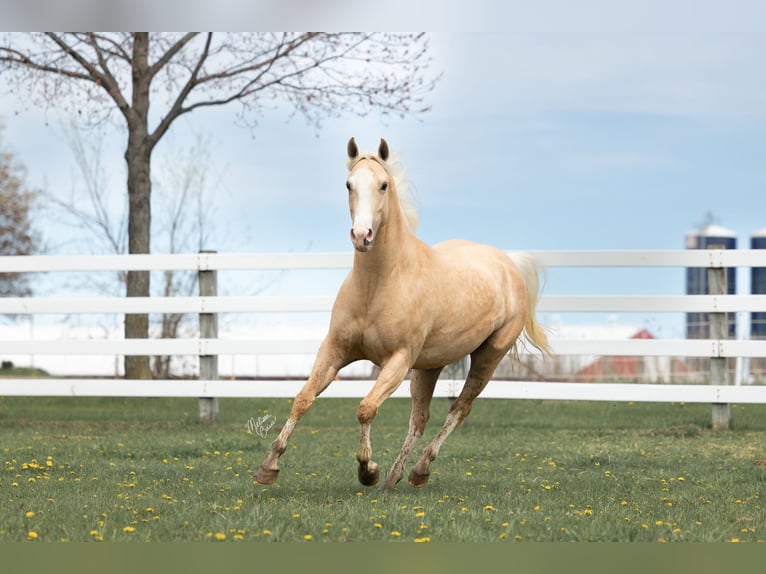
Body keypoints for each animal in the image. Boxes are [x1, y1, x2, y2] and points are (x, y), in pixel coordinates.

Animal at [256, 138, 552, 490]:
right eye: (349, 184)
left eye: (383, 184)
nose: (362, 235)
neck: (378, 284)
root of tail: (508, 263)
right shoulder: (335, 350)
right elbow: (303, 398)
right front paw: (269, 466)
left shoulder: (398, 361)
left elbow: (366, 408)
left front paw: (367, 470)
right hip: (430, 365)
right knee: (420, 418)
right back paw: (393, 478)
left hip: (488, 356)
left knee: (459, 409)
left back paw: (418, 471)